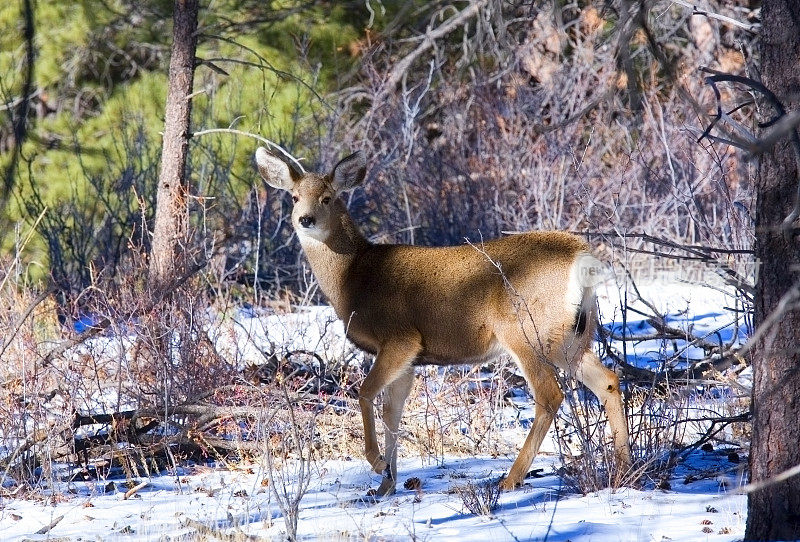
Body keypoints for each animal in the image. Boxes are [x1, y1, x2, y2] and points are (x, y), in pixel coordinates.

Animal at [256, 147, 632, 500]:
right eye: (294, 196)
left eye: (328, 197)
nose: (305, 219)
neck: (353, 277)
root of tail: (581, 258)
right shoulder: (409, 359)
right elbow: (392, 412)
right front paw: (385, 484)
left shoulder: (400, 337)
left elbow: (364, 393)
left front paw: (377, 464)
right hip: (571, 337)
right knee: (608, 381)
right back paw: (623, 469)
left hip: (525, 330)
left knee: (550, 395)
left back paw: (510, 480)